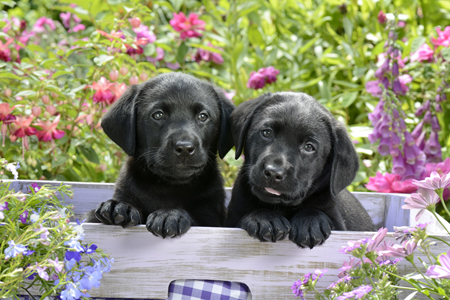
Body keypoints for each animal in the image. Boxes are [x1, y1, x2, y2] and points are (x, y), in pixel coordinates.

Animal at [86, 71, 237, 238]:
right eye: (158, 115)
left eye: (203, 116)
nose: (184, 148)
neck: (168, 186)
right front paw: (119, 206)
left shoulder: (211, 216)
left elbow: (195, 217)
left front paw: (170, 215)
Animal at [227, 92, 374, 250]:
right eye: (266, 133)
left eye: (309, 147)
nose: (273, 173)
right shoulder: (231, 220)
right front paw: (264, 218)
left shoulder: (338, 225)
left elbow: (316, 212)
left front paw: (310, 222)